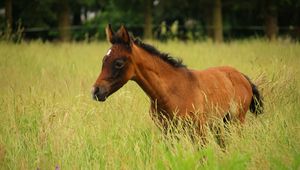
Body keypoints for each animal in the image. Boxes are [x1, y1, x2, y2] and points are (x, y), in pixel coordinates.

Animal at [91, 25, 262, 141]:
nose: (96, 91)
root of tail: (242, 76)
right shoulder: (168, 132)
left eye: (118, 63)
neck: (170, 92)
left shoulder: (198, 130)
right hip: (221, 125)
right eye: (103, 60)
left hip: (236, 121)